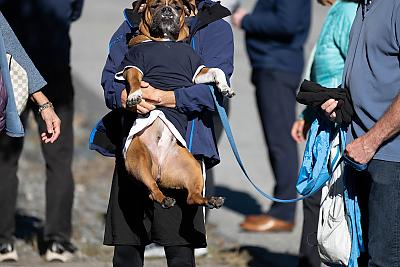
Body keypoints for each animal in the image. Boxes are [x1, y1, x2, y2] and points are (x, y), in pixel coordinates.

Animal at [122, 0, 234, 210]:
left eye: (178, 7)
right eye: (154, 6)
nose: (167, 10)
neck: (165, 42)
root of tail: (159, 168)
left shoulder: (198, 72)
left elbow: (218, 70)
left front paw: (224, 88)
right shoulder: (132, 65)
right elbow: (134, 79)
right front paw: (134, 95)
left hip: (192, 167)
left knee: (192, 196)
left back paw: (211, 200)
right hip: (139, 159)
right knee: (152, 189)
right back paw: (164, 198)